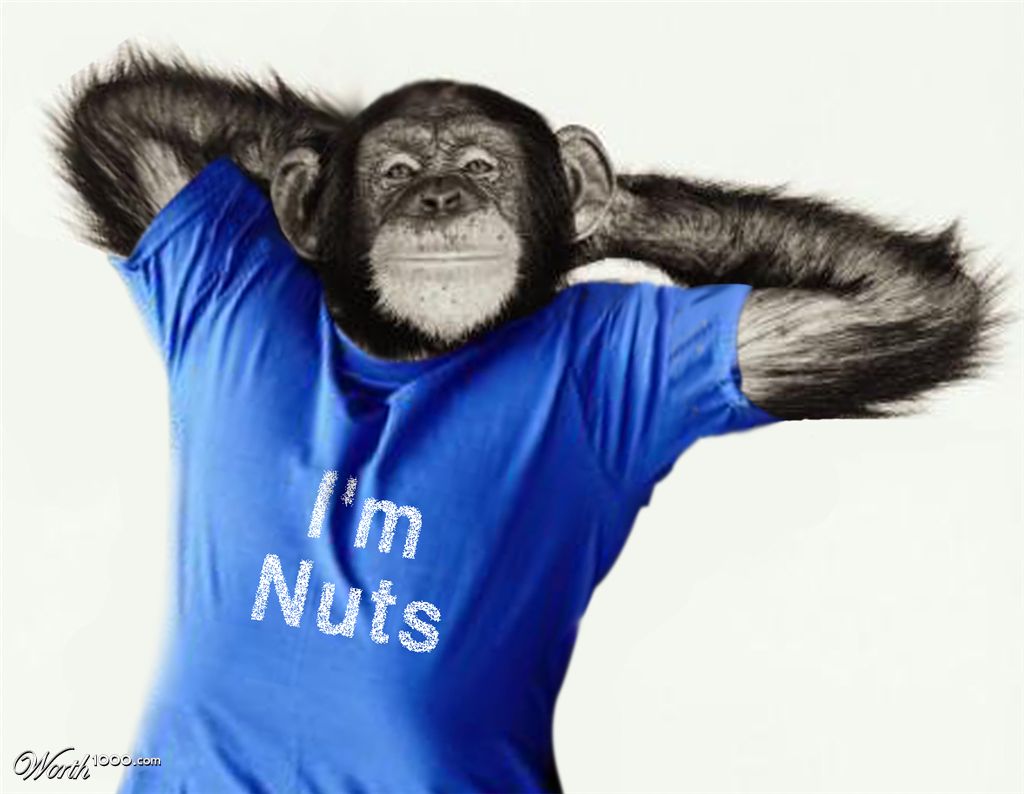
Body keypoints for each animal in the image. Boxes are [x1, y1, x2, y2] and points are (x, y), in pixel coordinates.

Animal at [49, 44, 1003, 794]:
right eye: (396, 173)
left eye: (480, 167)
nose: (439, 198)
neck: (407, 354)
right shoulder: (217, 259)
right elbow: (129, 122)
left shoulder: (643, 353)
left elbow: (895, 305)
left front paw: (593, 205)